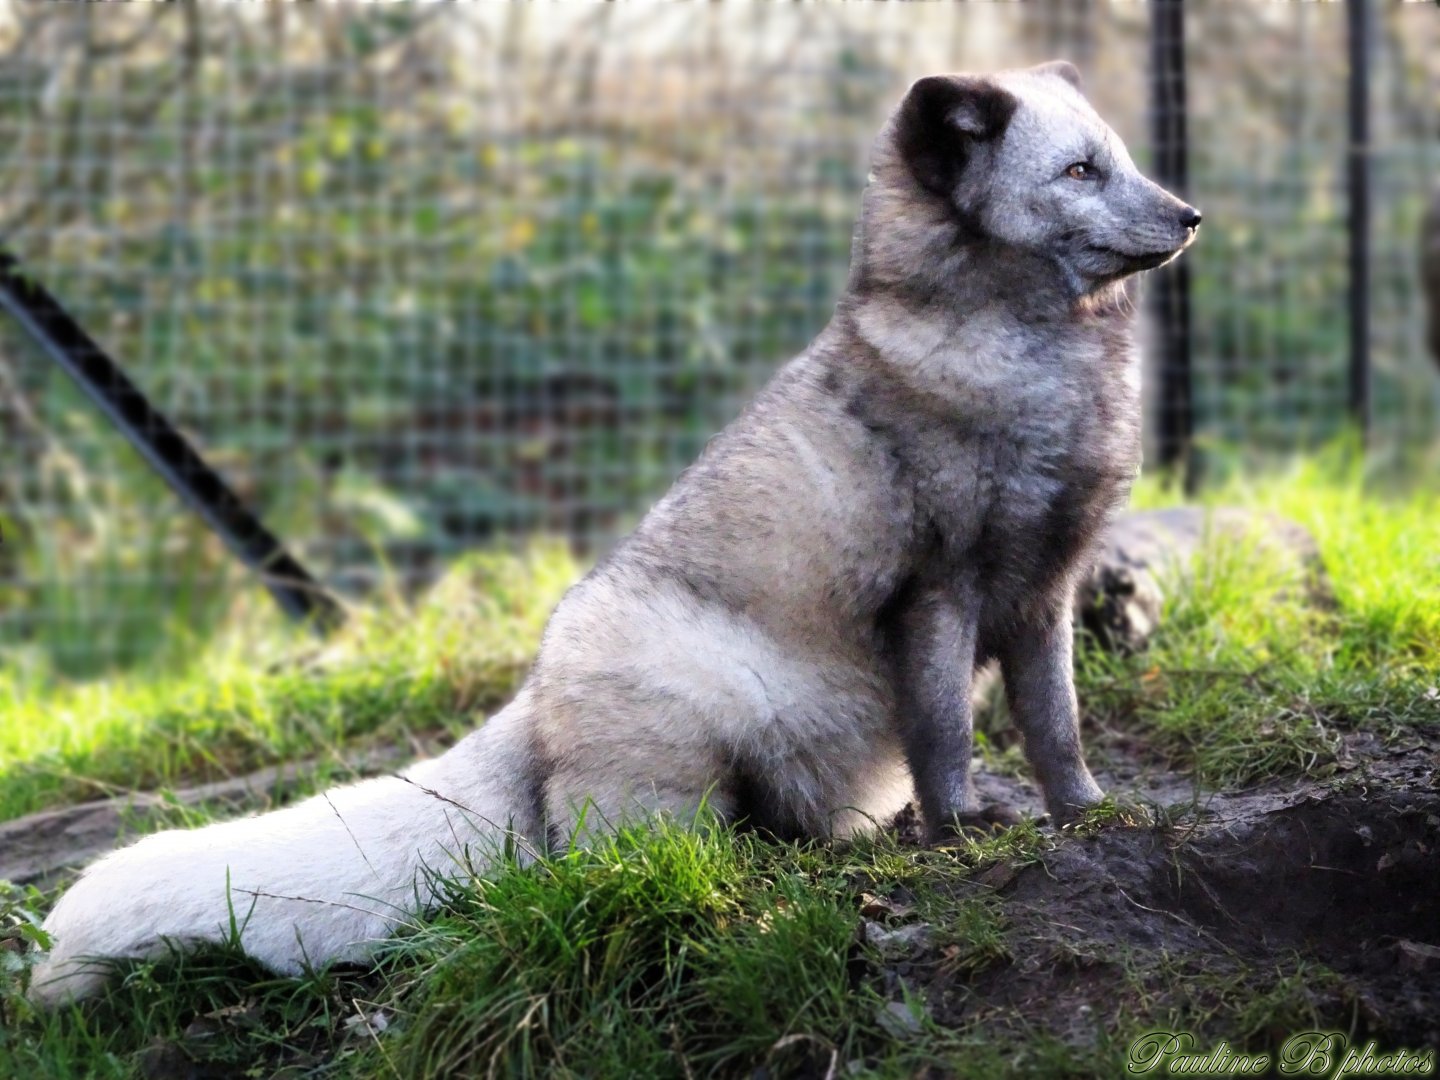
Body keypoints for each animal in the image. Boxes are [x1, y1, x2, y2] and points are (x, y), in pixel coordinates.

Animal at [32, 61, 1199, 1004]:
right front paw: (962, 832)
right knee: (620, 860)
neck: (1038, 369)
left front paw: (1089, 815)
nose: (1190, 215)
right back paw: (748, 875)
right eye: (1080, 171)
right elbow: (947, 737)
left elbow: (1056, 724)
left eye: (1126, 159)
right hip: (692, 720)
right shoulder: (940, 591)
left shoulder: (1044, 587)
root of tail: (533, 700)